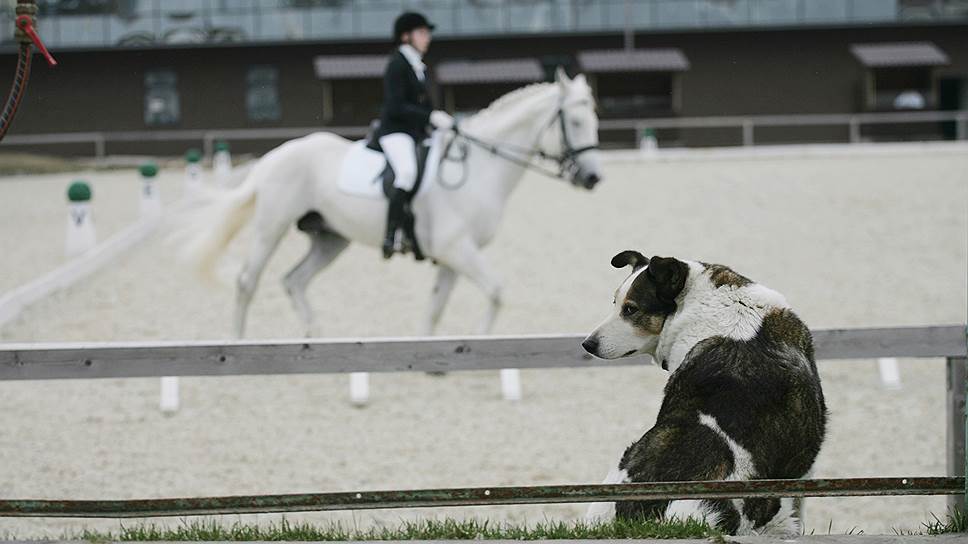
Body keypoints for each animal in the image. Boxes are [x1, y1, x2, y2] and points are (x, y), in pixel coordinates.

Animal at [182, 67, 600, 340]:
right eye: (576, 122)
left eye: (594, 119)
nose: (593, 178)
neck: (480, 167)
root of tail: (274, 155)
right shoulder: (456, 248)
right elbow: (496, 292)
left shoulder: (451, 257)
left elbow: (436, 308)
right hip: (272, 226)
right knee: (248, 282)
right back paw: (238, 342)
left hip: (331, 238)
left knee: (294, 281)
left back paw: (315, 337)